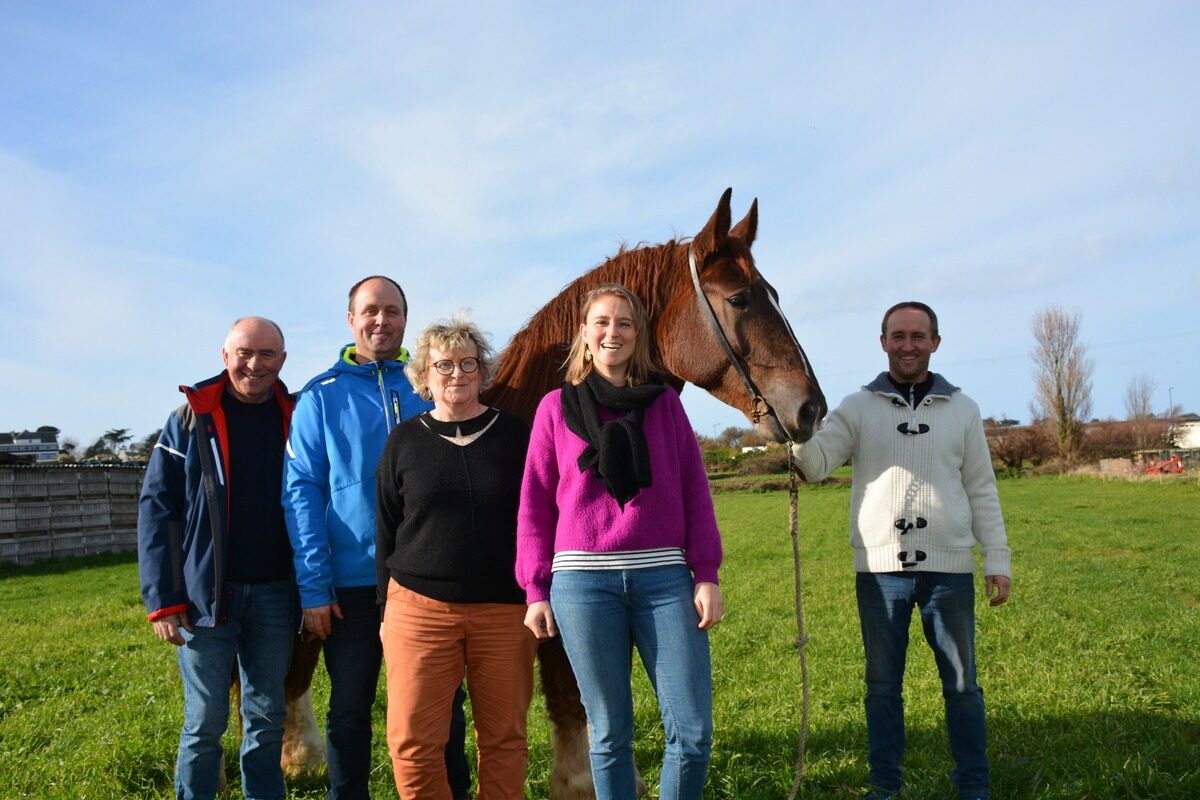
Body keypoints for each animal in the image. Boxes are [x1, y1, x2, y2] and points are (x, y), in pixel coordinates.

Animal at [280, 190, 825, 796]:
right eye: (739, 298)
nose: (812, 408)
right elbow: (570, 691)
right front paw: (579, 778)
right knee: (295, 668)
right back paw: (301, 756)